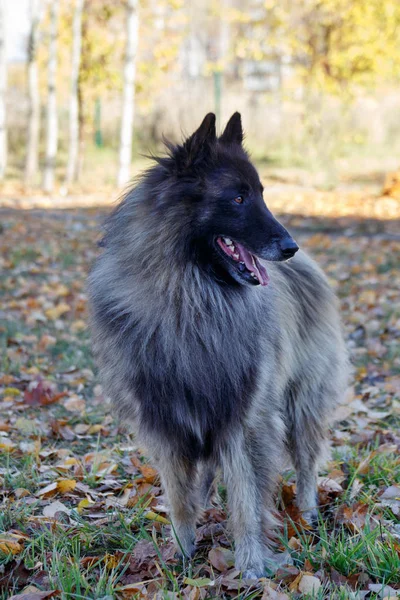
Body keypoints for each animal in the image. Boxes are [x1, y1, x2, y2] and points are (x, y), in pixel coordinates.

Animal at [86, 112, 346, 576]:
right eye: (238, 198)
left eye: (261, 194)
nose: (290, 246)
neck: (187, 299)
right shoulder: (167, 422)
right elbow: (180, 499)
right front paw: (181, 554)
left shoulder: (244, 421)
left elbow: (246, 497)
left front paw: (251, 566)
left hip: (302, 403)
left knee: (306, 461)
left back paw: (308, 513)